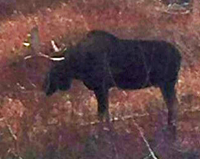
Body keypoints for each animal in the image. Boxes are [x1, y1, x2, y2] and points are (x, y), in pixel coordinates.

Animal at [43, 30, 181, 137]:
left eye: (57, 66)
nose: (46, 87)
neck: (80, 65)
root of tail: (180, 56)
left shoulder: (100, 87)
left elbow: (101, 113)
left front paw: (101, 135)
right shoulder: (105, 88)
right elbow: (107, 112)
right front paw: (109, 132)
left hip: (167, 83)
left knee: (173, 104)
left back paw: (171, 130)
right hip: (167, 84)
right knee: (173, 104)